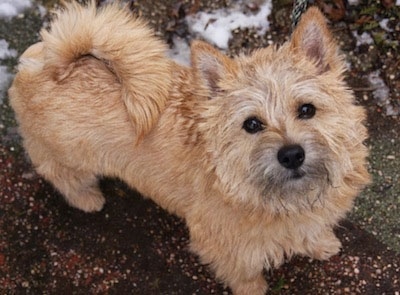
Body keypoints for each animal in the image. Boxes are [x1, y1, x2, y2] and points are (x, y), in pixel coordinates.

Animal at [9, 1, 370, 294]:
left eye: (307, 109)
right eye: (252, 124)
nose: (292, 155)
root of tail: (52, 65)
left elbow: (312, 232)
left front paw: (322, 244)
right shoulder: (221, 244)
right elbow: (242, 274)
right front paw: (253, 289)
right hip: (65, 155)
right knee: (60, 174)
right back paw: (87, 198)